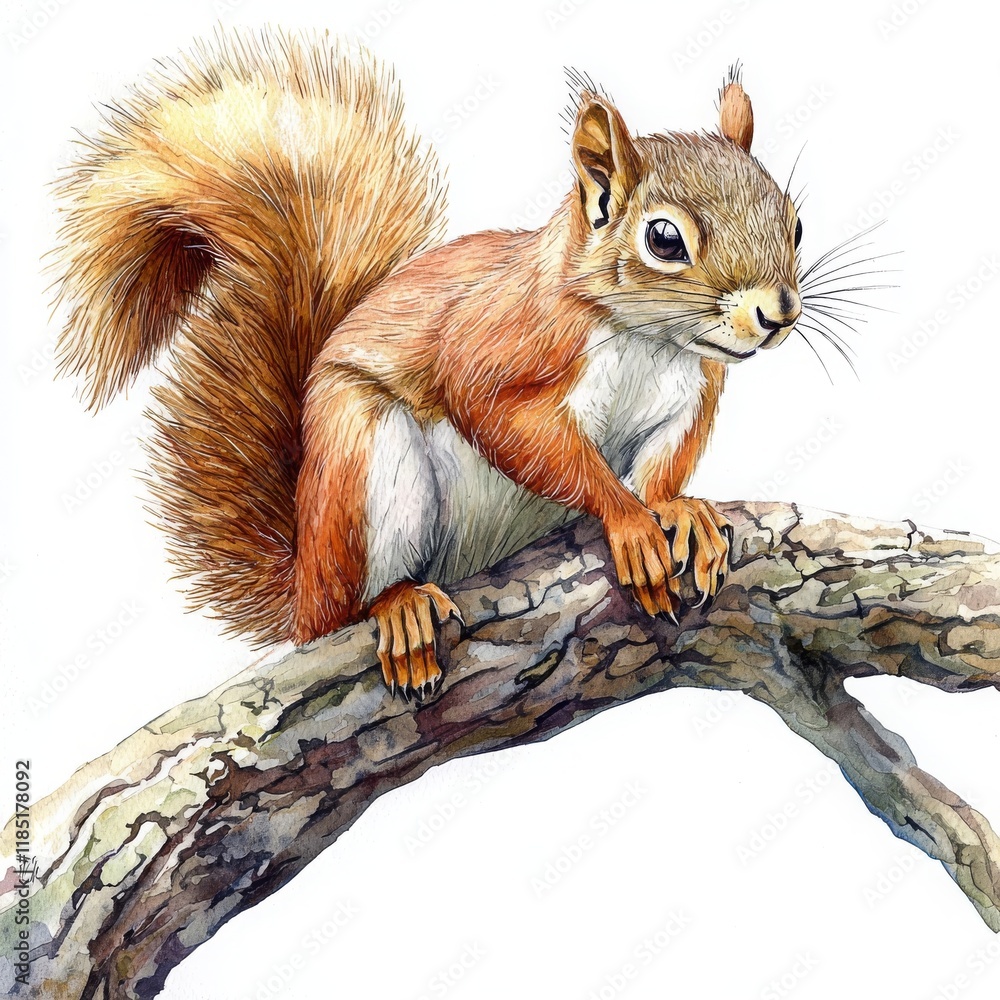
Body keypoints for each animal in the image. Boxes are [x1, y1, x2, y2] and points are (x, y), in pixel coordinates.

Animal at [53, 29, 802, 701]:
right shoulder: (501, 341)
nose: (778, 314)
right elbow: (505, 420)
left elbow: (668, 461)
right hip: (360, 463)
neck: (652, 341)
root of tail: (302, 585)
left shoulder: (691, 394)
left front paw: (677, 512)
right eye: (664, 239)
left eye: (795, 223)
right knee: (349, 603)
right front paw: (629, 521)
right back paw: (397, 606)